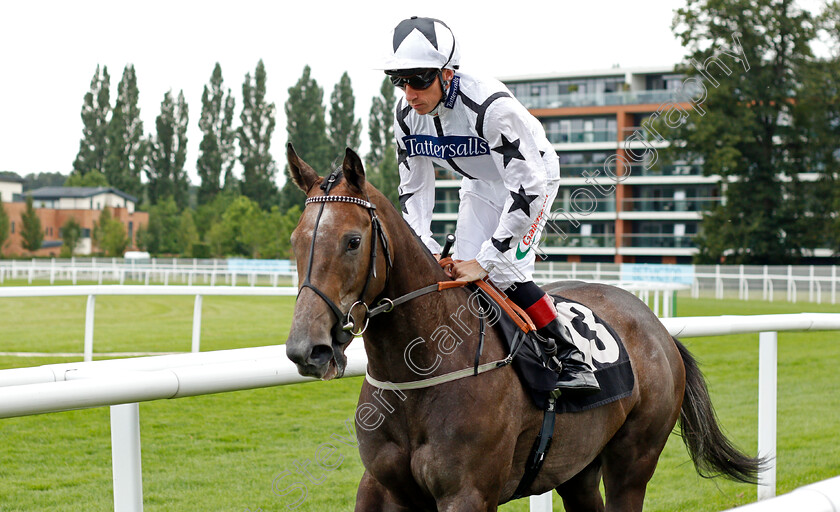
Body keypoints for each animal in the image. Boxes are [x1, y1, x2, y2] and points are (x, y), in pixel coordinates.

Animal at [284, 145, 760, 512]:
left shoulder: (468, 494)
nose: (307, 349)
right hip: (578, 470)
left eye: (352, 241)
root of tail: (659, 331)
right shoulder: (381, 488)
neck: (416, 378)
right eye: (295, 241)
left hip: (634, 462)